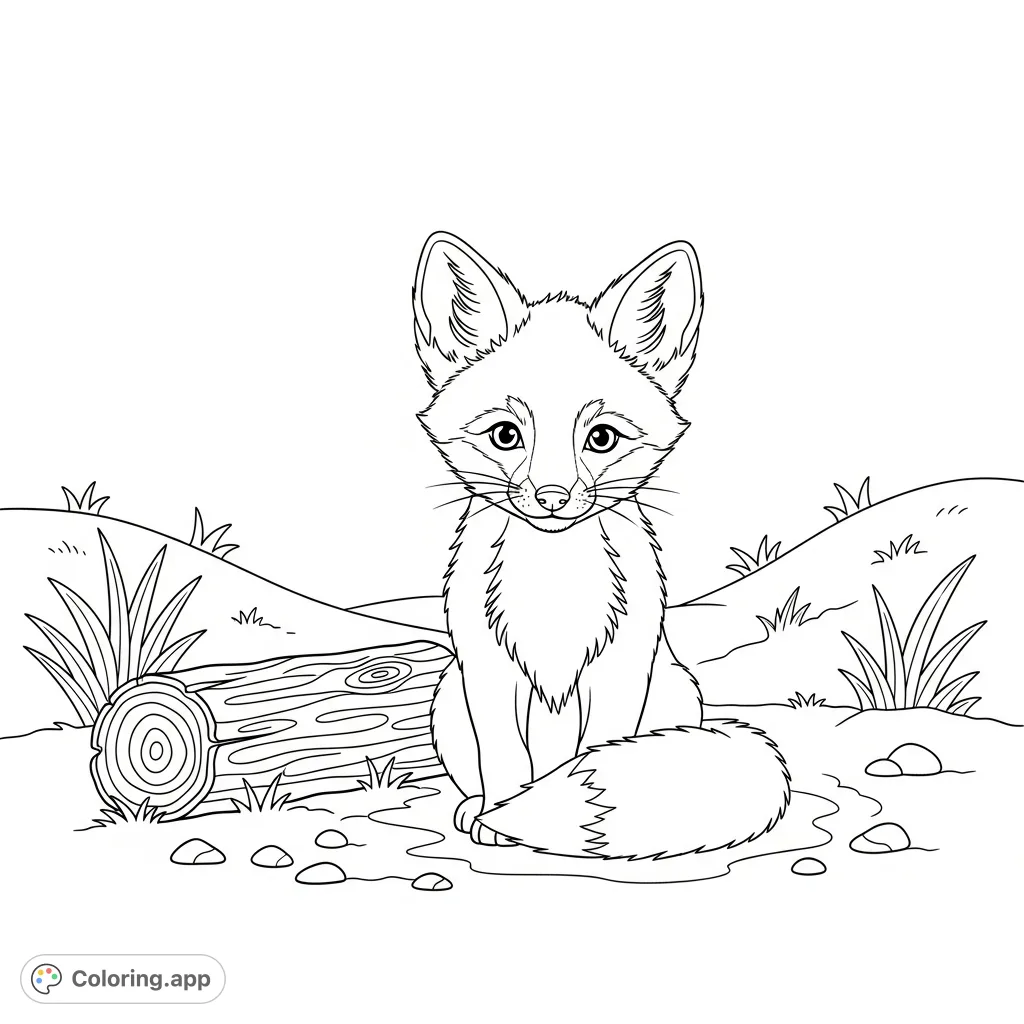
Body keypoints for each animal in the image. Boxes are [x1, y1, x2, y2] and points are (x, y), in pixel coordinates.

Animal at [414, 232, 790, 858]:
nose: (552, 497)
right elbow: (507, 766)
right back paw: (476, 809)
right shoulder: (489, 675)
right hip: (449, 700)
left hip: (674, 692)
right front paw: (500, 819)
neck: (553, 588)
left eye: (601, 438)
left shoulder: (616, 676)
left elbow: (592, 755)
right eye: (506, 435)